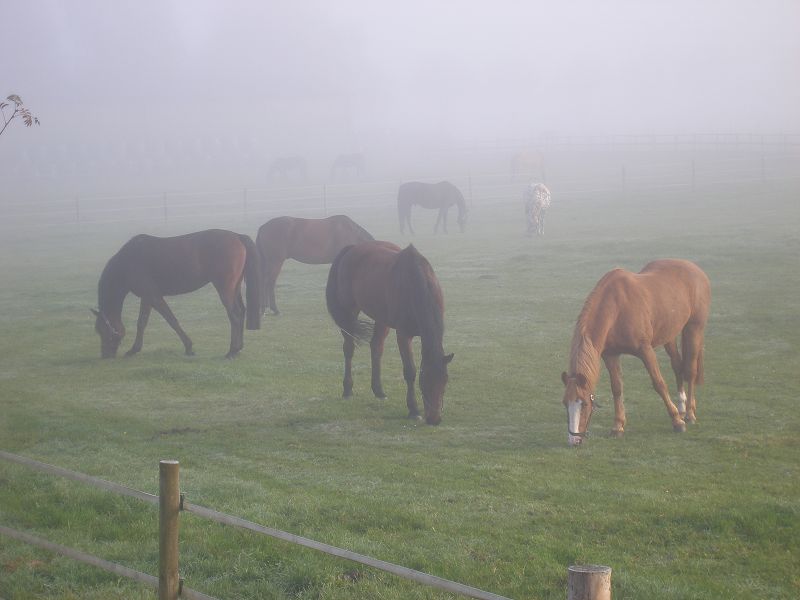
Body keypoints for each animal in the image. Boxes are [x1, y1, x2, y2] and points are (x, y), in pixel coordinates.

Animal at [93, 229, 262, 360]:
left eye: (103, 331)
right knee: (241, 312)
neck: (127, 262)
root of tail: (238, 236)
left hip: (225, 289)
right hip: (235, 287)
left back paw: (231, 351)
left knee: (235, 315)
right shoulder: (146, 298)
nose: (105, 355)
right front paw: (134, 349)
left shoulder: (153, 296)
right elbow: (142, 323)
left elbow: (171, 320)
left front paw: (189, 347)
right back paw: (238, 349)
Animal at [324, 241, 450, 424]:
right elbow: (409, 371)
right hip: (349, 312)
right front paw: (413, 410)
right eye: (424, 382)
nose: (434, 420)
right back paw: (347, 390)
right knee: (349, 348)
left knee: (376, 347)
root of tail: (353, 247)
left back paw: (379, 391)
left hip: (381, 319)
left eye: (445, 382)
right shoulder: (403, 335)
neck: (416, 284)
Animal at [560, 258, 708, 446]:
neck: (616, 308)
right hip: (669, 334)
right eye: (565, 403)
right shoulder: (610, 355)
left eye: (585, 403)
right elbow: (617, 388)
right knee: (677, 365)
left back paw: (688, 414)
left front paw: (677, 422)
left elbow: (659, 383)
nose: (574, 440)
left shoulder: (645, 350)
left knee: (690, 371)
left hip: (694, 328)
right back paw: (682, 407)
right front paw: (618, 426)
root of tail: (694, 268)